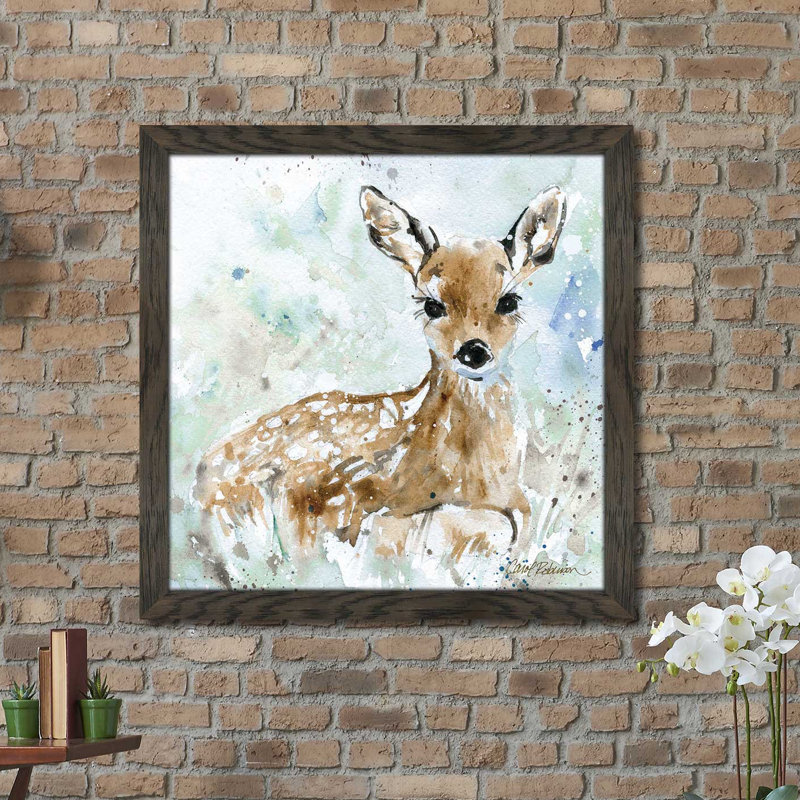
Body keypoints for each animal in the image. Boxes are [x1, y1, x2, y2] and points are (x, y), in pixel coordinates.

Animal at [193, 184, 568, 557]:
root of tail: (201, 472)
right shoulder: (346, 503)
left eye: (509, 301)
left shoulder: (517, 506)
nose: (473, 350)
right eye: (432, 305)